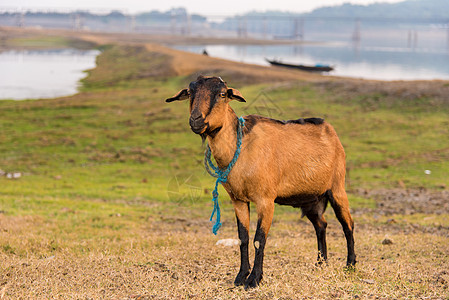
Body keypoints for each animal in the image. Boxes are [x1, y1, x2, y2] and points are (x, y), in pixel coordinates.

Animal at [166, 76, 356, 290]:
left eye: (222, 94)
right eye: (190, 93)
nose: (196, 120)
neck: (241, 147)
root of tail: (329, 130)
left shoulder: (265, 200)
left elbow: (259, 239)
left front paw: (254, 279)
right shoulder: (238, 200)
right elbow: (243, 238)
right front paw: (240, 276)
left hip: (337, 187)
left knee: (347, 224)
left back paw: (350, 265)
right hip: (311, 199)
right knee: (321, 225)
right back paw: (320, 263)